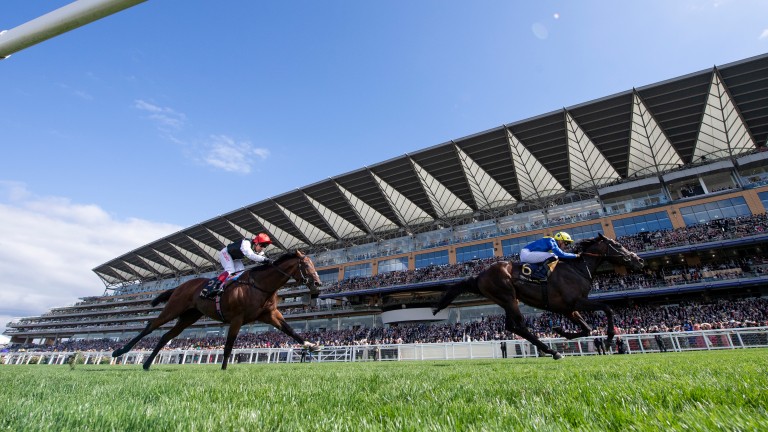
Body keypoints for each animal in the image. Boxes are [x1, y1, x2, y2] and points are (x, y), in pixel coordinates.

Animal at [111, 251, 320, 370]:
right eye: (306, 265)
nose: (317, 283)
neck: (260, 285)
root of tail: (181, 284)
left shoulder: (270, 315)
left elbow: (291, 331)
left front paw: (310, 345)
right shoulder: (237, 318)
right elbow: (228, 345)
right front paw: (224, 369)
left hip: (189, 316)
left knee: (165, 336)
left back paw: (147, 365)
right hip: (173, 308)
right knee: (150, 326)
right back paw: (119, 351)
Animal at [432, 235, 640, 360]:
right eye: (618, 245)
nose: (638, 260)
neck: (577, 269)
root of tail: (479, 276)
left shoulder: (568, 308)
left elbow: (587, 329)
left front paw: (561, 331)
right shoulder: (576, 301)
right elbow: (607, 308)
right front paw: (609, 338)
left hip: (507, 301)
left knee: (511, 326)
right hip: (508, 297)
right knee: (520, 326)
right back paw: (552, 351)